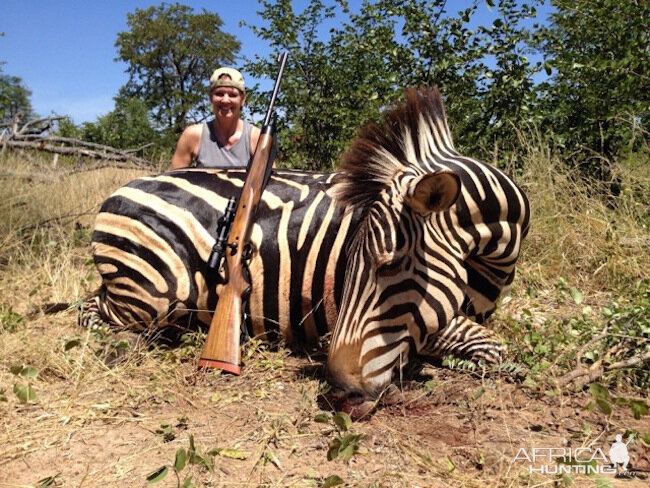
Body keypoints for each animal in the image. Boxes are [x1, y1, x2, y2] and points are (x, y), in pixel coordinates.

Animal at [81, 86, 528, 400]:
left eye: (389, 265)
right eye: (356, 262)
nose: (343, 384)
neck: (489, 264)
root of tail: (117, 192)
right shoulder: (430, 322)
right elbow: (492, 351)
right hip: (156, 291)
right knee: (93, 312)